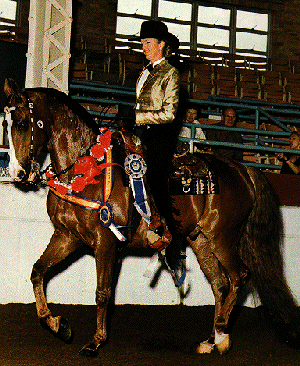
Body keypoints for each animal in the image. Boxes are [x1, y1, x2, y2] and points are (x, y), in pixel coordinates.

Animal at [4, 78, 300, 358]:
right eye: (5, 122)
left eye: (22, 123)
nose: (16, 173)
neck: (87, 171)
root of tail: (242, 169)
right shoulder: (67, 236)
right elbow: (37, 271)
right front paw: (58, 325)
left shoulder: (105, 242)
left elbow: (102, 292)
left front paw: (95, 342)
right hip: (200, 240)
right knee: (220, 283)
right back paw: (210, 340)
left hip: (223, 238)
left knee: (239, 276)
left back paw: (221, 336)